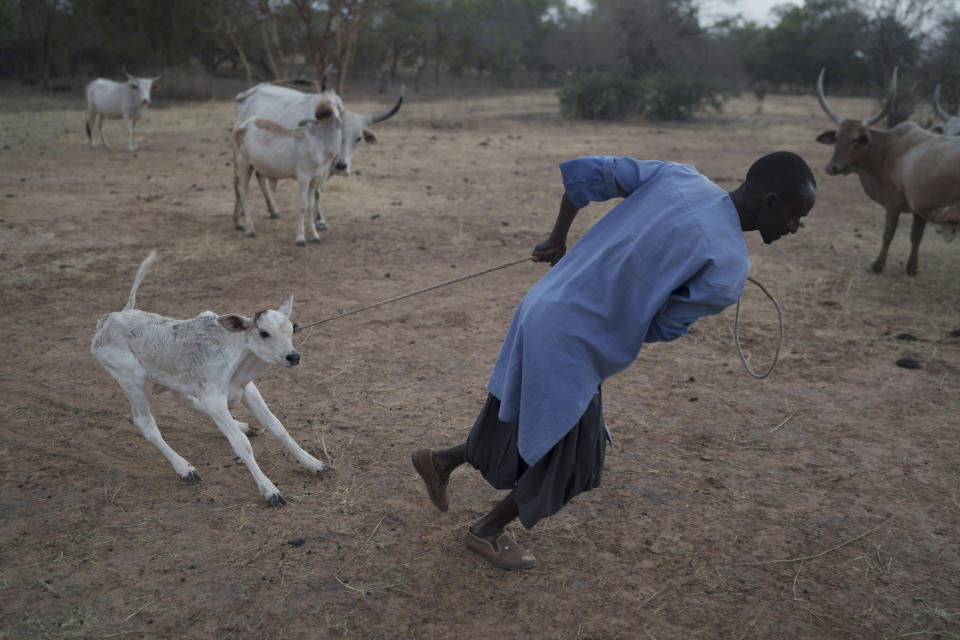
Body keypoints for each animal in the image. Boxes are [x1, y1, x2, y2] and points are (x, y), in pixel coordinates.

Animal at [91, 250, 330, 504]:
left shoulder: (246, 390)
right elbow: (241, 444)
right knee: (146, 423)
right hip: (131, 379)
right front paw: (269, 490)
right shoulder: (214, 399)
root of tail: (108, 320)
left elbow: (277, 426)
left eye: (291, 329)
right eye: (264, 333)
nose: (293, 356)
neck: (238, 354)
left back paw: (242, 426)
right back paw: (185, 468)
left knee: (184, 400)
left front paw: (313, 463)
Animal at [233, 79, 404, 230]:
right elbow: (316, 193)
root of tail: (247, 94)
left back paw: (273, 210)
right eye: (340, 133)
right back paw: (239, 216)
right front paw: (320, 221)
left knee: (259, 176)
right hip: (240, 156)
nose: (342, 166)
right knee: (238, 181)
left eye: (358, 138)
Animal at [234, 99, 344, 245]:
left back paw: (239, 223)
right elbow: (302, 206)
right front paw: (300, 238)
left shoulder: (313, 181)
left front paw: (315, 236)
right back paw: (250, 230)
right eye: (324, 122)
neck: (320, 143)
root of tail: (242, 127)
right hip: (244, 165)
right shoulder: (303, 178)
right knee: (243, 192)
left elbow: (310, 206)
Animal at [816, 69, 960, 274]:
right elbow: (916, 236)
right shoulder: (920, 208)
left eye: (856, 139)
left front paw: (878, 264)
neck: (889, 150)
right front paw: (912, 267)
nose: (831, 167)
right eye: (837, 137)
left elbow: (888, 233)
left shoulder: (894, 202)